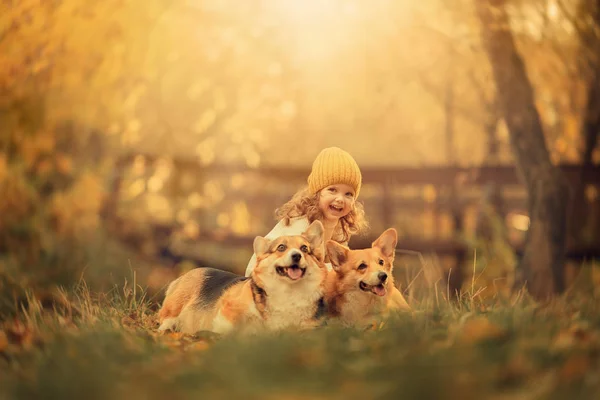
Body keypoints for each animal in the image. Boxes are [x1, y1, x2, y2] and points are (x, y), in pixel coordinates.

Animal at [158, 222, 328, 334]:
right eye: (281, 247)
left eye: (304, 248)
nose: (297, 256)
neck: (289, 291)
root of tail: (182, 276)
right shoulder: (229, 305)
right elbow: (227, 325)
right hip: (176, 304)